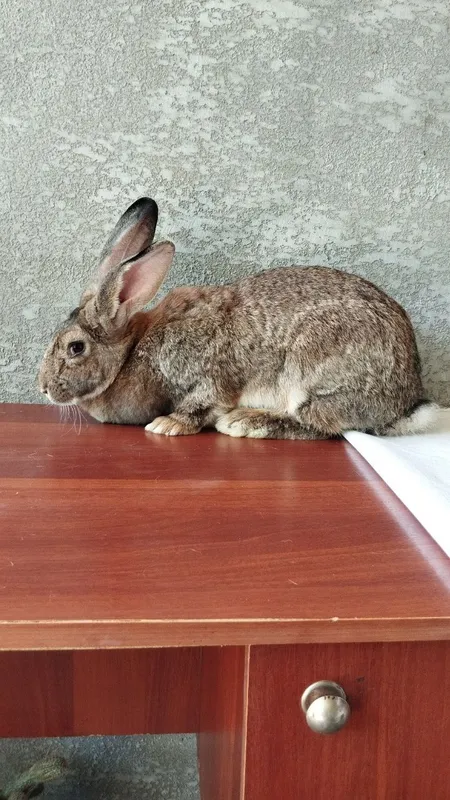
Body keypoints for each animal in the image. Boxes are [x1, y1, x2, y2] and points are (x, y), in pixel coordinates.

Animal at [39, 197, 438, 439]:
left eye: (76, 348)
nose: (43, 388)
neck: (130, 354)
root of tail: (407, 398)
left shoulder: (206, 371)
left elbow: (203, 402)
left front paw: (167, 425)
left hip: (312, 370)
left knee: (324, 424)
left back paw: (245, 422)